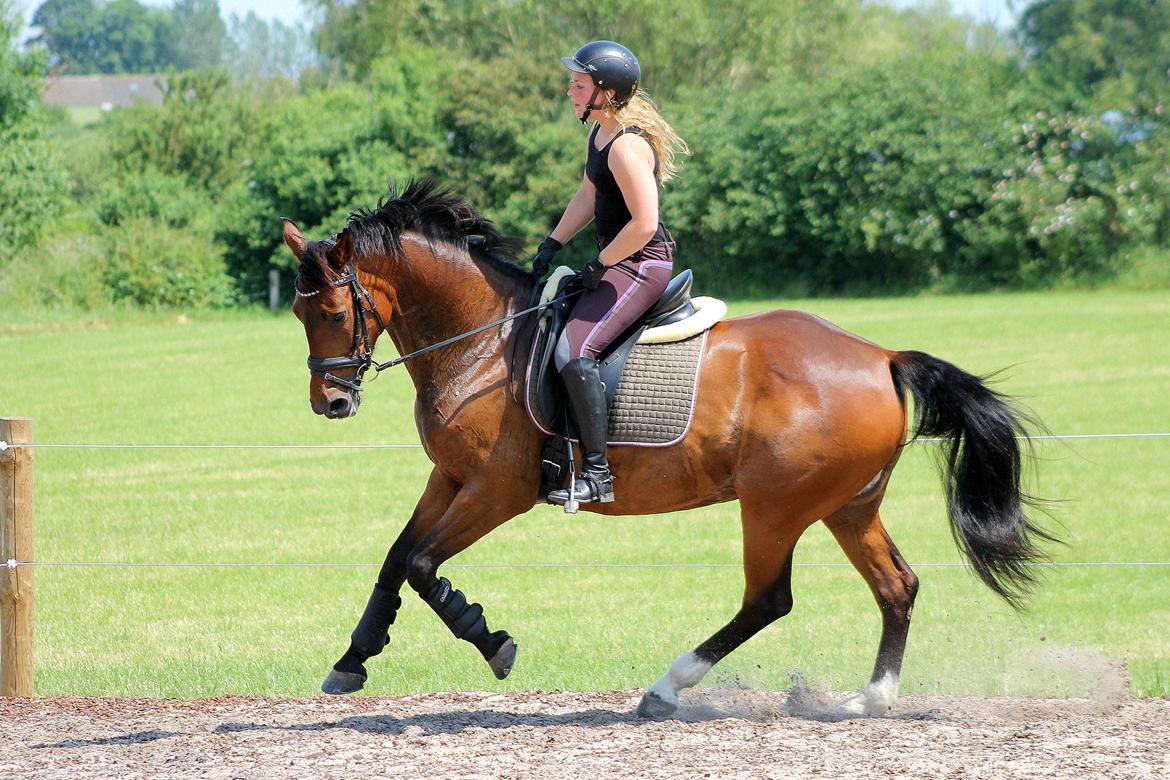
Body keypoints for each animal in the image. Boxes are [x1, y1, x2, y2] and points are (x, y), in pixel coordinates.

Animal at [280, 180, 1053, 715]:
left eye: (335, 311)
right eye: (296, 310)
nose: (331, 403)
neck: (482, 343)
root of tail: (884, 356)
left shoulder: (498, 491)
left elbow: (421, 564)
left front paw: (493, 642)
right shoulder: (449, 477)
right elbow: (395, 560)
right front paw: (352, 661)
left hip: (774, 506)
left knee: (768, 600)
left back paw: (666, 688)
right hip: (847, 505)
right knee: (897, 586)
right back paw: (870, 698)